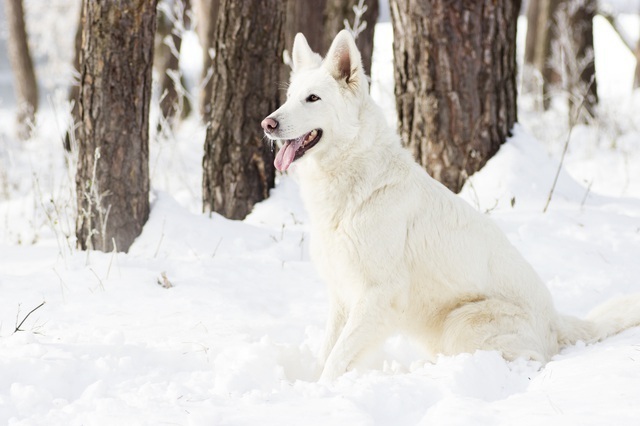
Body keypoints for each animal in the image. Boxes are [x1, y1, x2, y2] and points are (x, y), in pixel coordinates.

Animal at [262, 30, 640, 382]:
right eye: (289, 98)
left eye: (313, 98)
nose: (268, 123)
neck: (356, 182)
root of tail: (556, 321)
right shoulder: (343, 294)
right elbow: (326, 353)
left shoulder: (378, 296)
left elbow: (337, 359)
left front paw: (320, 391)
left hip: (464, 321)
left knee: (529, 362)